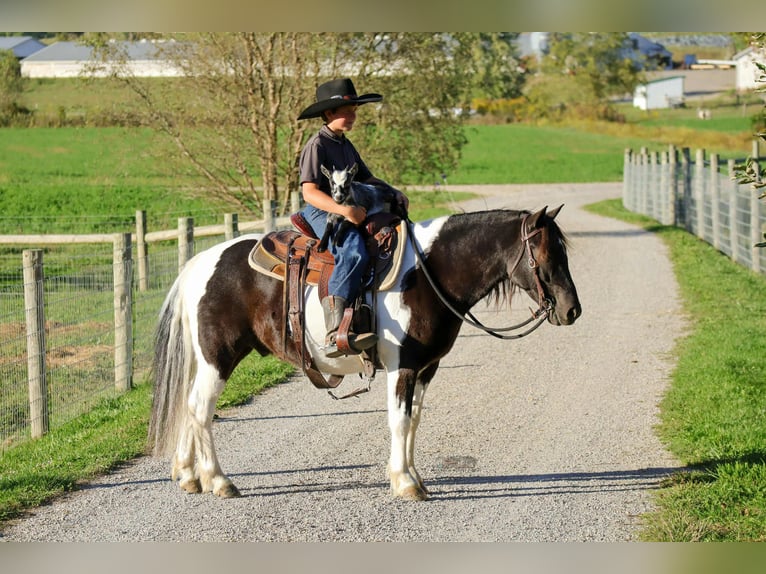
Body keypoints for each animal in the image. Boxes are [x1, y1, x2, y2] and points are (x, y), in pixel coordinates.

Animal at [148, 205, 582, 501]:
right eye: (545, 255)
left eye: (564, 253)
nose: (571, 310)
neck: (428, 275)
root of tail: (199, 263)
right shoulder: (402, 366)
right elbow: (399, 421)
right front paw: (405, 483)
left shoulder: (426, 368)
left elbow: (415, 420)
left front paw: (413, 476)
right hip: (218, 357)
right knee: (200, 409)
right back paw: (218, 480)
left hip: (204, 359)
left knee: (188, 406)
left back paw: (188, 475)